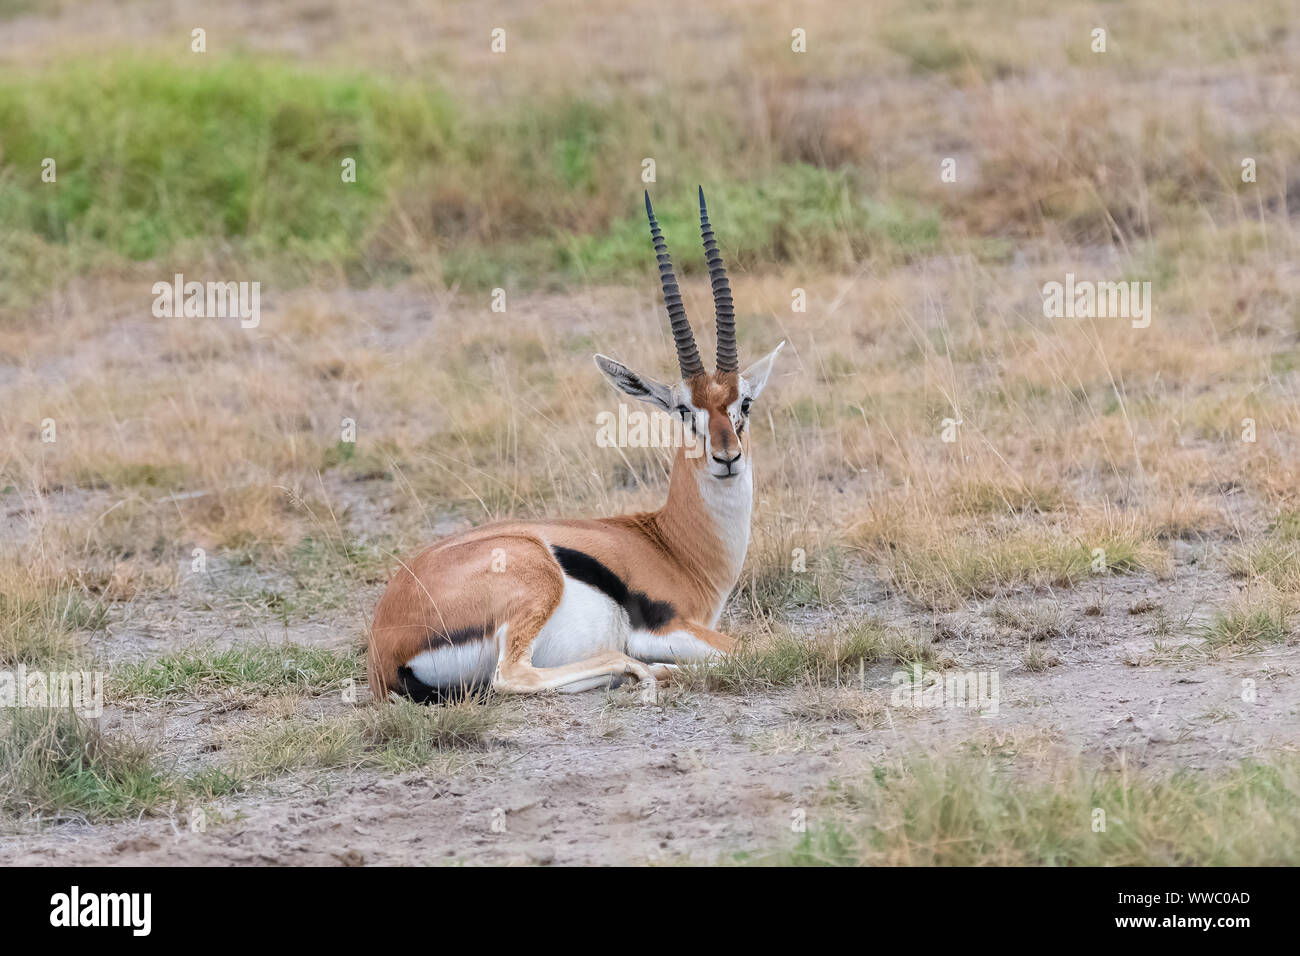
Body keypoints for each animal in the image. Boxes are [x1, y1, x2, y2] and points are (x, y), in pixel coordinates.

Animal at [367, 188, 784, 702]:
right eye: (685, 411)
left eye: (744, 402)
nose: (728, 458)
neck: (673, 545)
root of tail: (384, 646)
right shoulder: (666, 628)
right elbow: (761, 647)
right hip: (535, 588)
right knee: (514, 676)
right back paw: (638, 671)